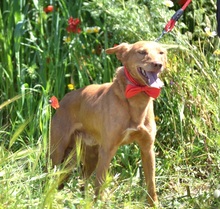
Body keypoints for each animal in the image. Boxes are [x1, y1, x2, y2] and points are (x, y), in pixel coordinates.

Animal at [49, 40, 167, 206]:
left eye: (161, 53)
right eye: (142, 52)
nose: (158, 64)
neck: (135, 101)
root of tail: (62, 101)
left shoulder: (147, 148)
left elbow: (151, 183)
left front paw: (154, 204)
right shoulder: (108, 150)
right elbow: (100, 182)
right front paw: (100, 203)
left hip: (88, 156)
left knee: (81, 181)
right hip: (58, 152)